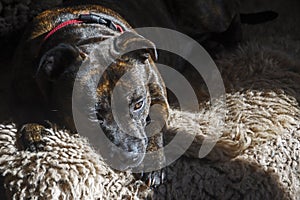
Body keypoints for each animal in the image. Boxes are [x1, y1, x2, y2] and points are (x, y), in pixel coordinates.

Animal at [12, 5, 169, 188]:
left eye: (139, 104)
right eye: (92, 116)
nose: (130, 156)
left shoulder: (158, 96)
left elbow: (156, 123)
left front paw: (153, 160)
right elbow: (27, 106)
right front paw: (34, 129)